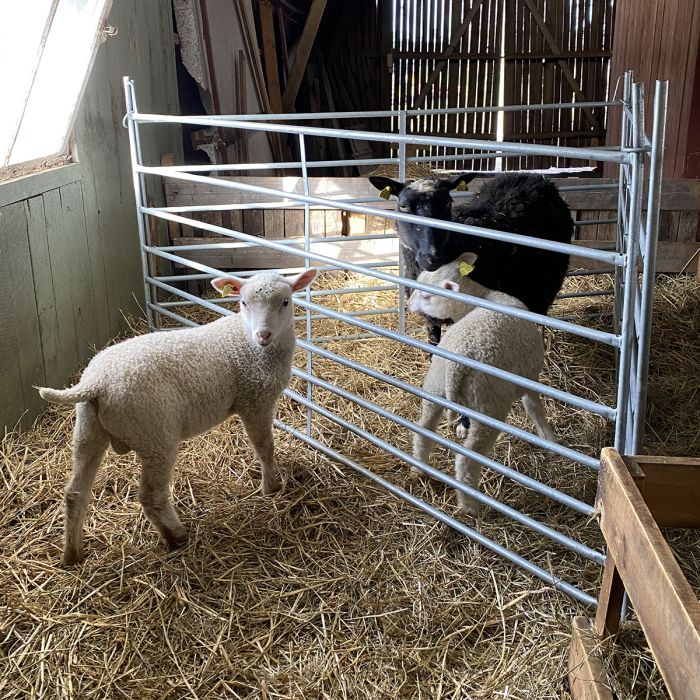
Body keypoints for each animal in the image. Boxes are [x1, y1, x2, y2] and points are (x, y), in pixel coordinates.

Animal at [35, 268, 314, 564]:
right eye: (243, 303)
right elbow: (265, 447)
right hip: (155, 435)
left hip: (88, 429)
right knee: (151, 496)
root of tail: (96, 382)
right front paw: (271, 488)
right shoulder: (255, 401)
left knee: (75, 493)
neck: (249, 344)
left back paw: (72, 554)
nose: (263, 334)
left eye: (285, 302)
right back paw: (176, 535)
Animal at [370, 172, 576, 342]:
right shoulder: (431, 320)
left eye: (448, 203)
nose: (432, 257)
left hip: (543, 284)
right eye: (403, 206)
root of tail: (536, 177)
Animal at [408, 254, 560, 516]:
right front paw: (549, 438)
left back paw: (419, 470)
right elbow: (534, 409)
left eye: (427, 295)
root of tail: (456, 364)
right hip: (488, 405)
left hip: (435, 387)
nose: (408, 304)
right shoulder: (529, 376)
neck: (481, 298)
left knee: (423, 431)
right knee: (466, 459)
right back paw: (470, 506)